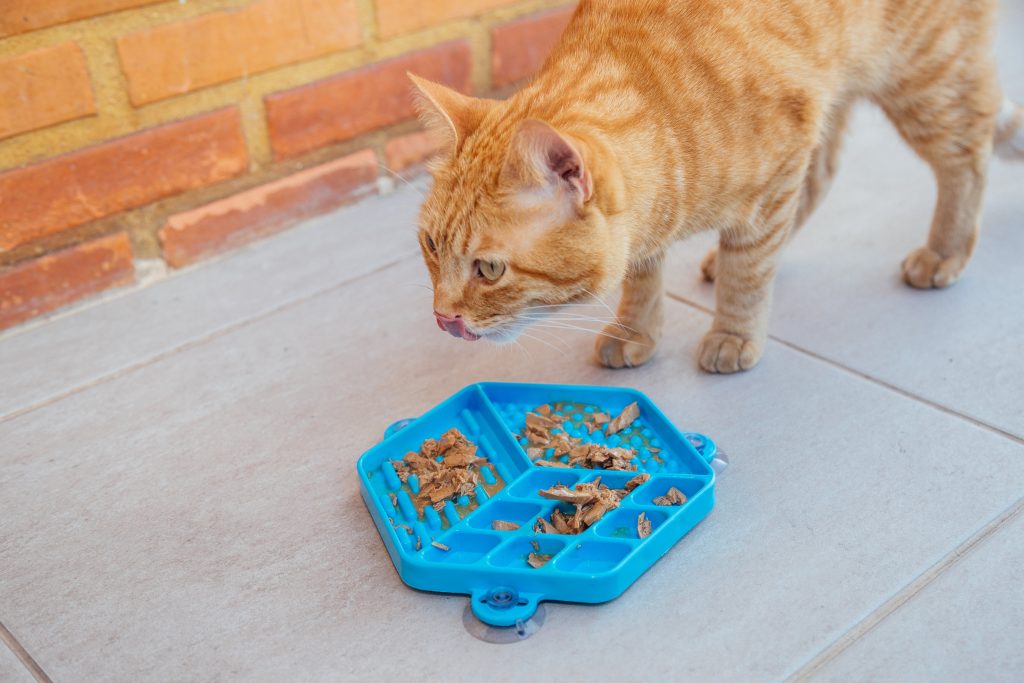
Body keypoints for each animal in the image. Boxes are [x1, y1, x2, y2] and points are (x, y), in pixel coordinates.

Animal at [411, 0, 1019, 374]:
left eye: (490, 269)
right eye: (432, 246)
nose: (442, 319)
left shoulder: (777, 169)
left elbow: (748, 273)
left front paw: (735, 332)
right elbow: (642, 278)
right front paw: (636, 330)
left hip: (925, 80)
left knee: (968, 157)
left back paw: (945, 251)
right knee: (822, 176)